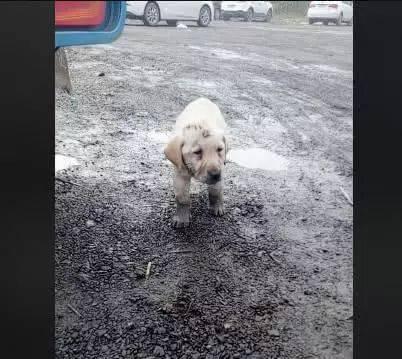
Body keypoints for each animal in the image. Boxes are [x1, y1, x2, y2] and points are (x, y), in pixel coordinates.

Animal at [163, 97, 226, 228]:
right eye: (197, 152)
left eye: (219, 150)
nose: (216, 174)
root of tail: (203, 98)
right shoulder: (180, 174)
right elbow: (182, 198)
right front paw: (182, 219)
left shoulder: (220, 170)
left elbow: (215, 191)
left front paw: (217, 207)